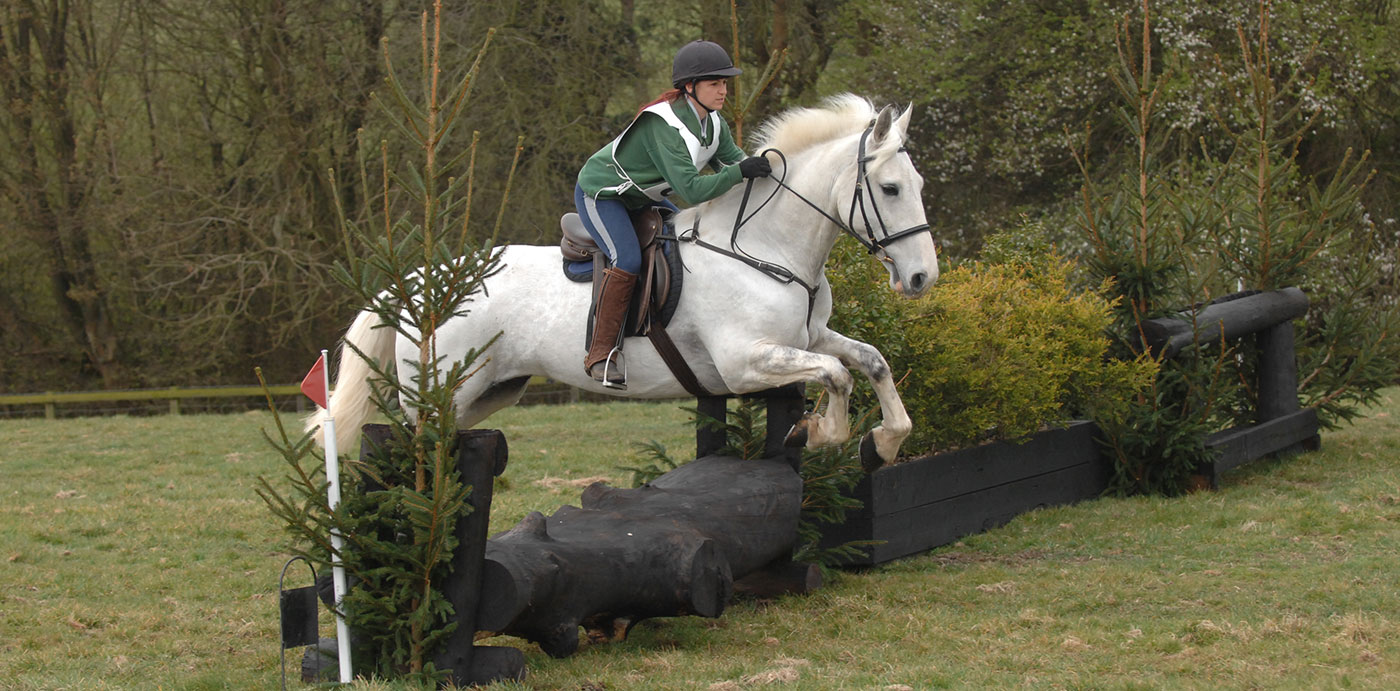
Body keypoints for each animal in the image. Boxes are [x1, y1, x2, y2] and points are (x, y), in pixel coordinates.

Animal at [309, 93, 940, 464]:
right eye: (889, 189)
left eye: (917, 184)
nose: (920, 278)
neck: (763, 248)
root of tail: (415, 285)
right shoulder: (744, 361)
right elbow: (835, 375)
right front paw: (816, 433)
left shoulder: (806, 338)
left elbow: (869, 362)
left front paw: (884, 440)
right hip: (440, 391)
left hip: (487, 391)